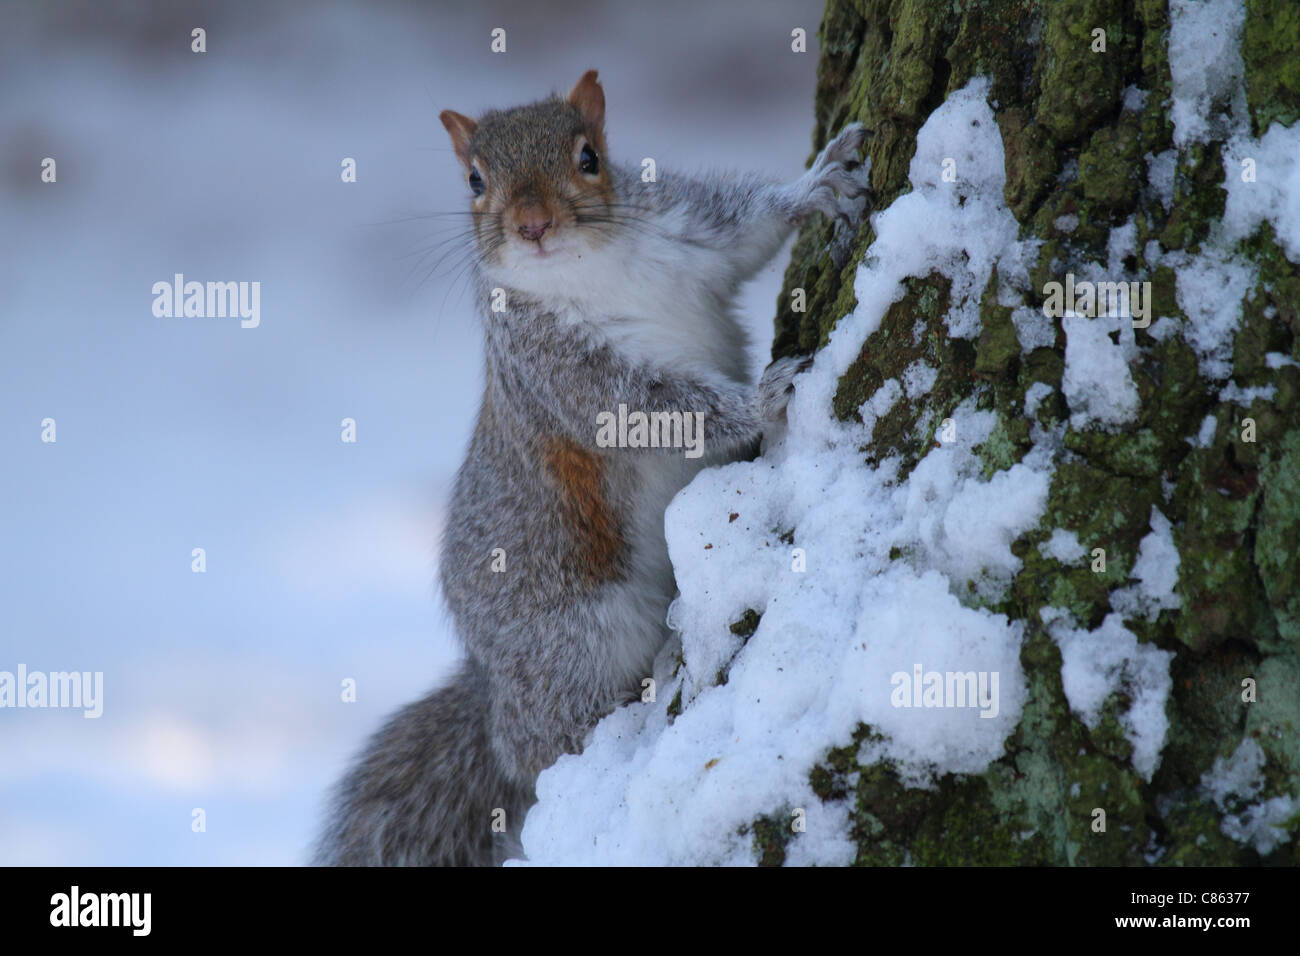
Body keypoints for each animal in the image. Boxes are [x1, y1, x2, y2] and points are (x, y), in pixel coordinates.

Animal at [309, 70, 868, 868]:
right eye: (474, 180)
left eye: (588, 158)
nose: (533, 225)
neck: (592, 267)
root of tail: (491, 683)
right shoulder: (560, 370)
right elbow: (652, 407)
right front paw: (761, 400)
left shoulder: (686, 230)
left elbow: (749, 230)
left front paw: (818, 184)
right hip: (572, 642)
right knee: (545, 746)